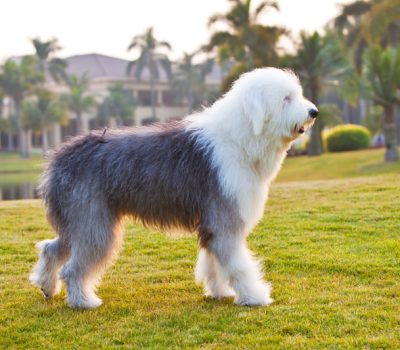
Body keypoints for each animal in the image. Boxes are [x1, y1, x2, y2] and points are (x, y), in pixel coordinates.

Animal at [29, 67, 318, 308]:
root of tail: (59, 157)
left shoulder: (211, 224)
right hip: (93, 221)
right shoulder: (224, 218)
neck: (240, 138)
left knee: (52, 248)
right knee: (73, 267)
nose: (313, 112)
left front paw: (219, 292)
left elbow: (214, 262)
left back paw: (47, 285)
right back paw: (83, 301)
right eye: (286, 98)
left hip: (79, 218)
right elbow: (238, 265)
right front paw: (255, 297)